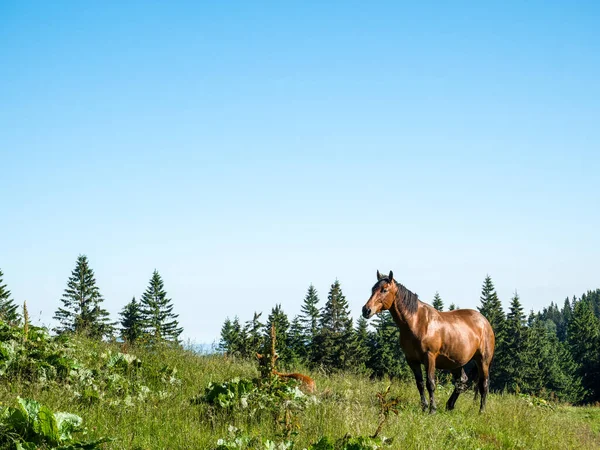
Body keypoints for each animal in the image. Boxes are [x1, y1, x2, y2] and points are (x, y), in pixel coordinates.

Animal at [364, 268, 494, 414]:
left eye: (384, 290)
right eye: (373, 289)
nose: (366, 310)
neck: (416, 322)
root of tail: (485, 322)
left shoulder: (430, 357)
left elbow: (430, 383)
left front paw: (432, 410)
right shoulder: (412, 360)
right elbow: (420, 384)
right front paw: (424, 407)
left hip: (483, 360)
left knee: (484, 384)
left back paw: (481, 411)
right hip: (456, 363)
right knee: (461, 381)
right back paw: (450, 405)